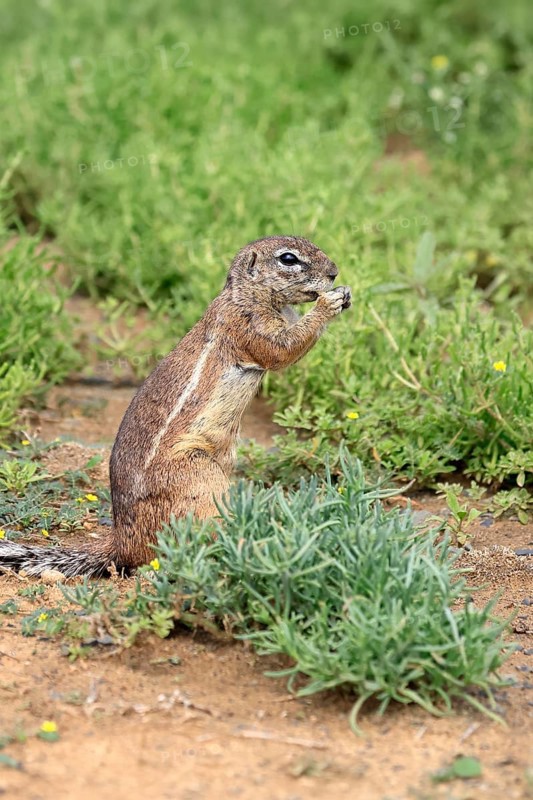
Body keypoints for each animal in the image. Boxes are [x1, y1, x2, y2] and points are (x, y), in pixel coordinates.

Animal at [0, 236, 351, 577]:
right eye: (288, 259)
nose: (335, 272)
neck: (248, 294)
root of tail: (122, 543)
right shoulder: (249, 325)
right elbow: (283, 349)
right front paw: (328, 303)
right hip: (201, 479)